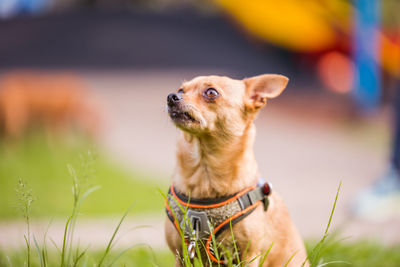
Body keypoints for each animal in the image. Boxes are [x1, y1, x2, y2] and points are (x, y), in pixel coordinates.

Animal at [164, 74, 308, 266]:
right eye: (181, 90)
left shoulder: (249, 255)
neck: (204, 172)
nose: (172, 96)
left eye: (211, 92)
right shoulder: (181, 254)